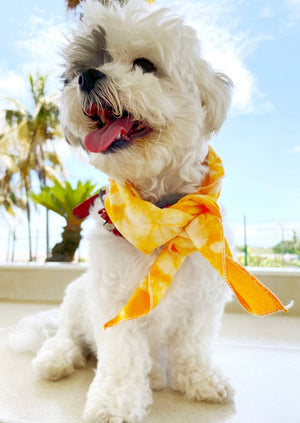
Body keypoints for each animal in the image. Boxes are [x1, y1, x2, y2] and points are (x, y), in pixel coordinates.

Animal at [29, 0, 234, 422]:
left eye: (144, 64)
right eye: (81, 68)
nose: (87, 76)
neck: (160, 216)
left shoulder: (203, 297)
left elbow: (193, 346)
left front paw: (201, 379)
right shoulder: (113, 301)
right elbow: (122, 357)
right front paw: (115, 400)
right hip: (78, 296)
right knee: (66, 333)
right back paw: (56, 356)